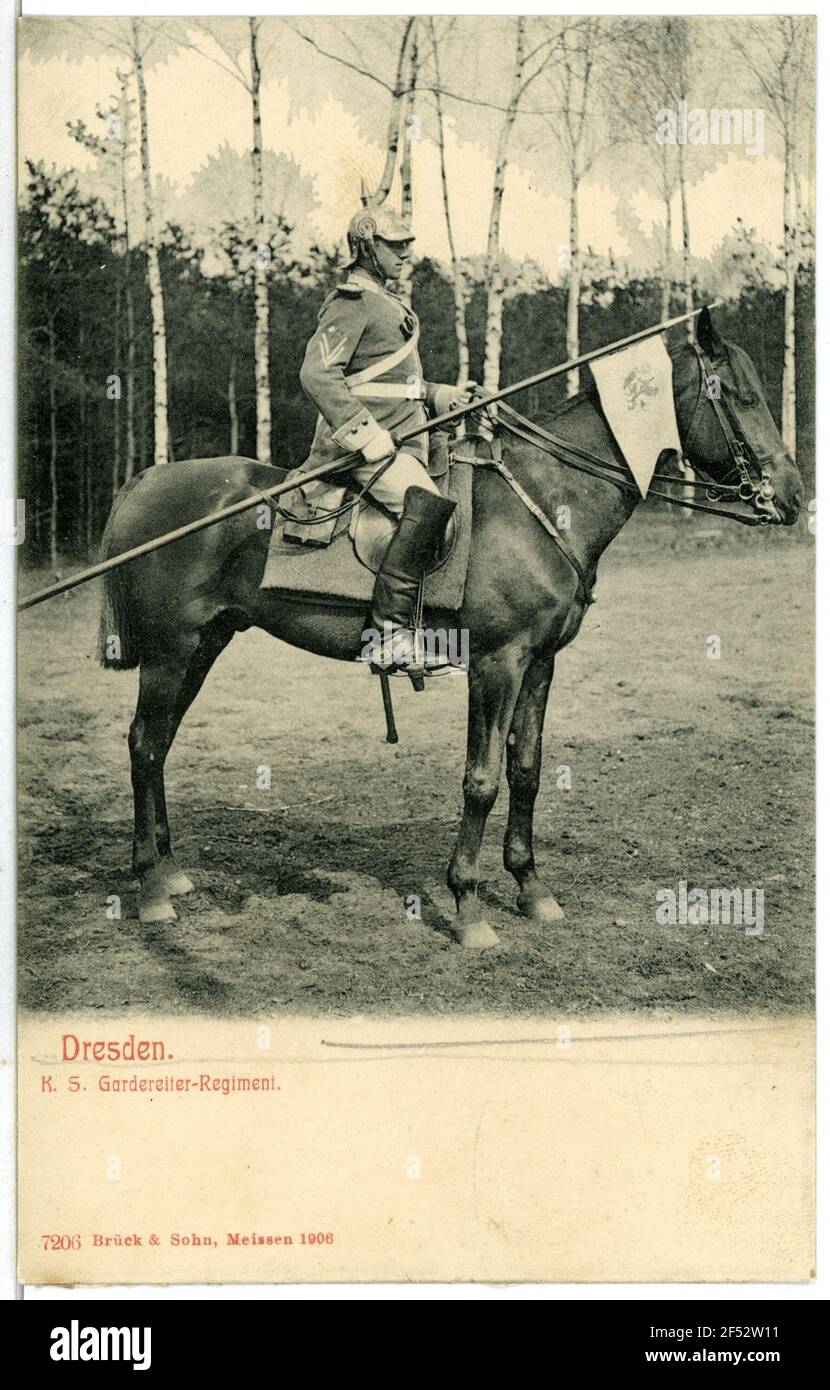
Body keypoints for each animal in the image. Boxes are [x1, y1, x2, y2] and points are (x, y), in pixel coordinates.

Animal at [98, 314, 800, 945]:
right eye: (740, 394)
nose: (794, 497)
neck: (543, 500)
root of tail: (145, 479)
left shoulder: (540, 662)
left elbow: (526, 769)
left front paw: (531, 889)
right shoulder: (497, 661)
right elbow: (481, 779)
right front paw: (467, 906)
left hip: (205, 644)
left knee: (159, 743)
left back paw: (168, 869)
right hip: (171, 650)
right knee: (143, 743)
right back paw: (153, 889)